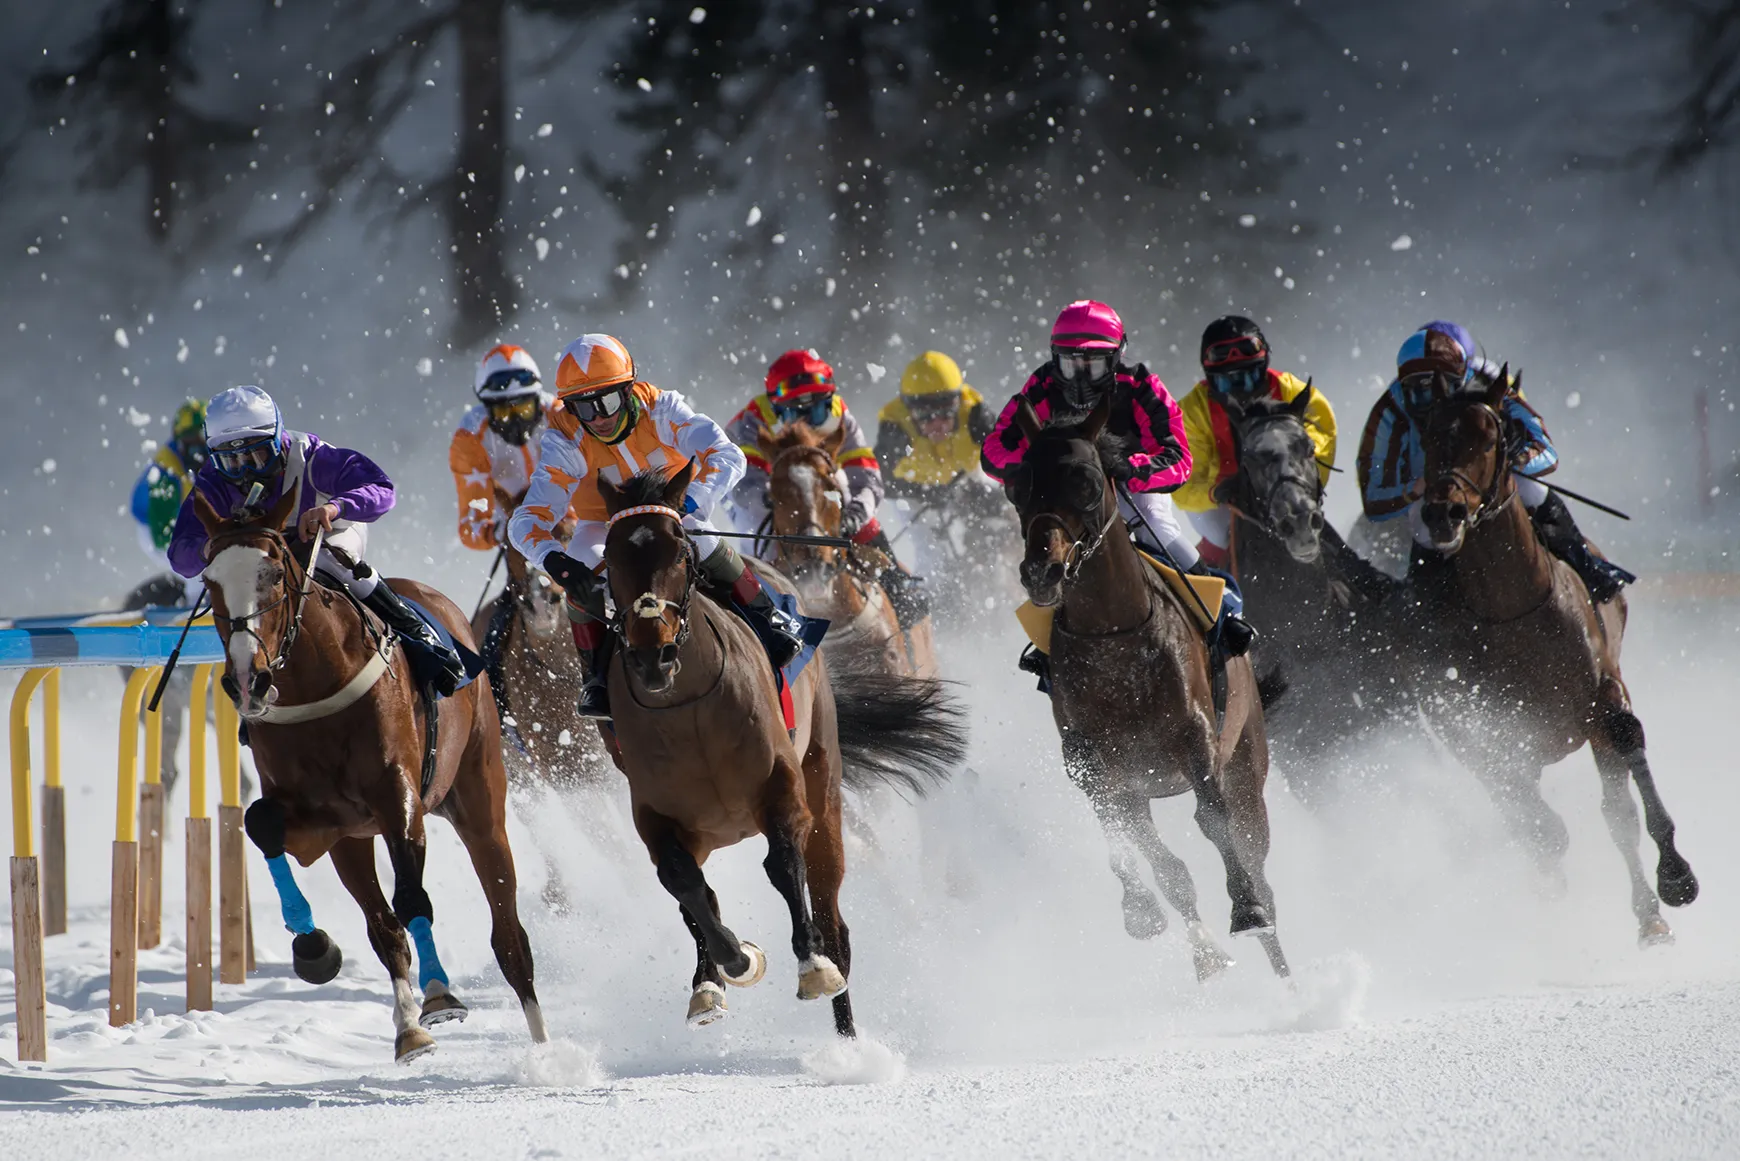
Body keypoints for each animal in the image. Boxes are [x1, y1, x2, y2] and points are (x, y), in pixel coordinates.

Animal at [190, 487, 546, 1061]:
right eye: (209, 580)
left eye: (274, 573)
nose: (248, 679)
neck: (316, 681)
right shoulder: (326, 822)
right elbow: (262, 824)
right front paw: (316, 948)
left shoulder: (397, 795)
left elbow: (412, 896)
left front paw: (440, 994)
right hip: (354, 839)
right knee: (382, 924)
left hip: (480, 795)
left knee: (509, 934)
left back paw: (543, 1046)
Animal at [594, 463, 967, 1035]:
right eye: (611, 558)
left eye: (679, 552)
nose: (652, 655)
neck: (688, 710)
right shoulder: (657, 813)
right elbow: (686, 885)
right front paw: (728, 965)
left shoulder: (781, 783)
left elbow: (783, 863)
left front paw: (811, 965)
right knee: (696, 894)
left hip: (824, 783)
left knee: (833, 913)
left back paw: (845, 1026)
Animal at [1004, 395, 1289, 981]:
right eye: (1018, 487)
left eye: (1087, 482)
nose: (1041, 572)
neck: (1114, 640)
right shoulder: (1098, 766)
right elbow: (1146, 854)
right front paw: (1154, 919)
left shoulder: (1197, 740)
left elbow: (1213, 820)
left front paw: (1244, 910)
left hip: (1247, 761)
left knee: (1258, 862)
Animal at [1411, 368, 1698, 945]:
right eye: (1428, 437)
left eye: (1490, 438)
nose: (1443, 512)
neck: (1512, 610)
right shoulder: (1480, 728)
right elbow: (1536, 823)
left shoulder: (1603, 692)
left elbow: (1625, 772)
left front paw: (1675, 879)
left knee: (1615, 811)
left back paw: (1648, 915)